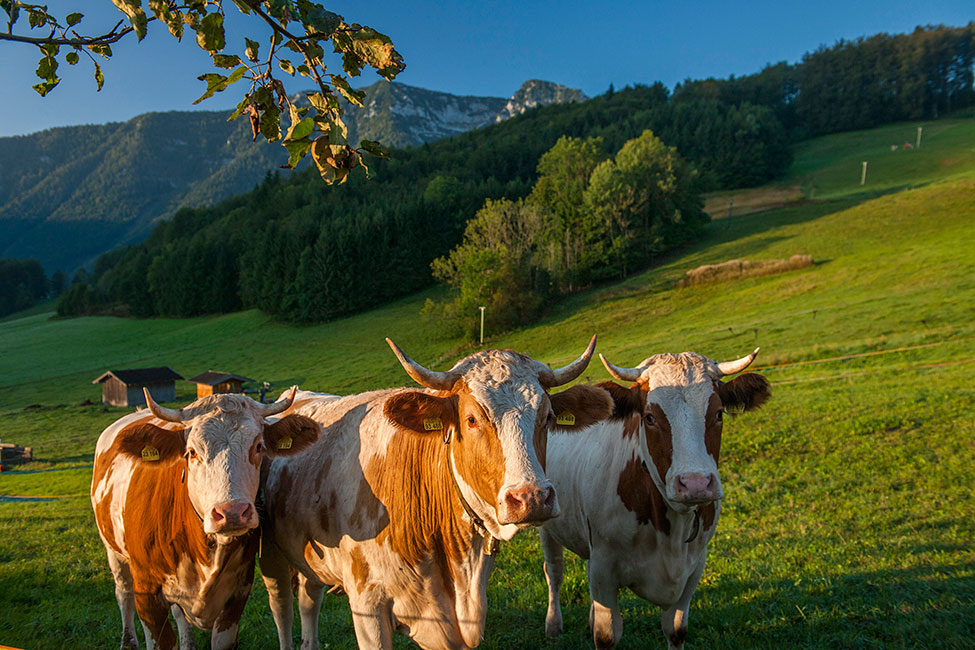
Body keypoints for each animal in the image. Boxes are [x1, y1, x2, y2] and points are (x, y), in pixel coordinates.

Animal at [91, 388, 320, 648]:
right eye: (191, 452)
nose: (232, 512)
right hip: (113, 551)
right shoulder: (147, 595)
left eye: (258, 446)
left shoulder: (237, 594)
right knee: (123, 593)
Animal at [260, 336, 608, 648]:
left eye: (548, 417)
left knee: (309, 599)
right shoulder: (367, 604)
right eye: (471, 419)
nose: (531, 498)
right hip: (271, 555)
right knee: (282, 608)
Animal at [540, 350, 772, 648]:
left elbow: (676, 629)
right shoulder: (605, 568)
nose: (695, 484)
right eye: (649, 418)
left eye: (719, 413)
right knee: (554, 571)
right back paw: (553, 623)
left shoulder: (694, 567)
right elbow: (606, 635)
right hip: (547, 521)